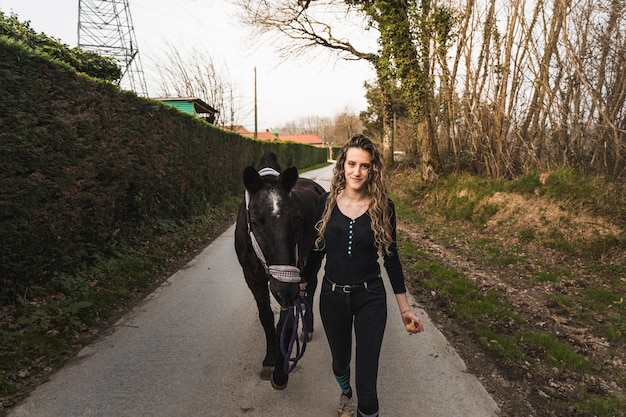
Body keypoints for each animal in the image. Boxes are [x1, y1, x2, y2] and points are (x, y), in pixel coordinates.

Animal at [233, 153, 322, 390]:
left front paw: (281, 373)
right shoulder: (253, 277)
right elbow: (266, 316)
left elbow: (286, 322)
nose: (285, 291)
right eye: (255, 222)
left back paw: (308, 326)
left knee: (311, 287)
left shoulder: (293, 275)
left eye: (296, 218)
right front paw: (270, 359)